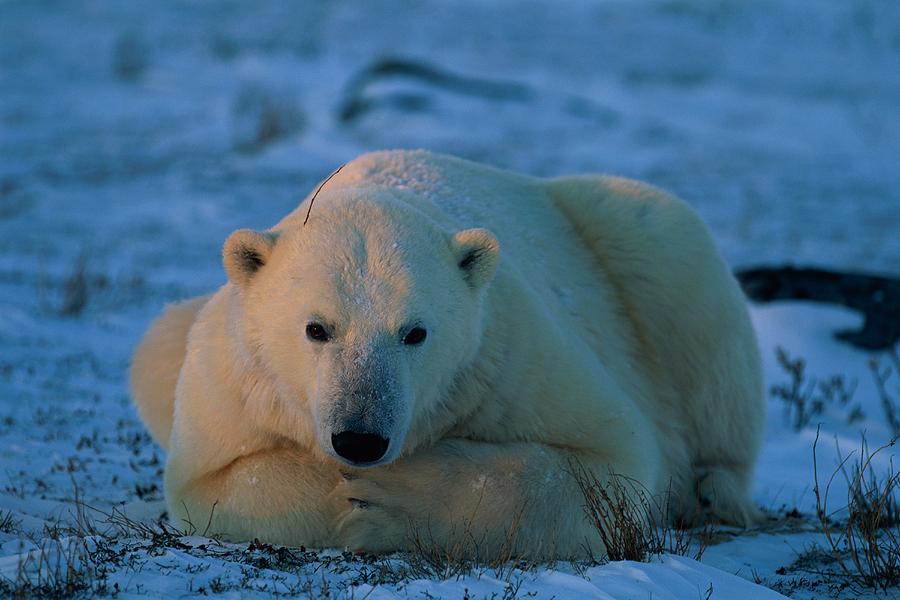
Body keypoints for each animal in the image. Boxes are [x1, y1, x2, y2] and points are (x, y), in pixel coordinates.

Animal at [130, 149, 764, 556]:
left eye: (415, 332)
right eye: (316, 328)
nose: (359, 439)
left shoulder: (507, 357)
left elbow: (608, 463)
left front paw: (385, 502)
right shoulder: (232, 381)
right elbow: (221, 482)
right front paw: (345, 499)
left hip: (626, 246)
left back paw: (710, 491)